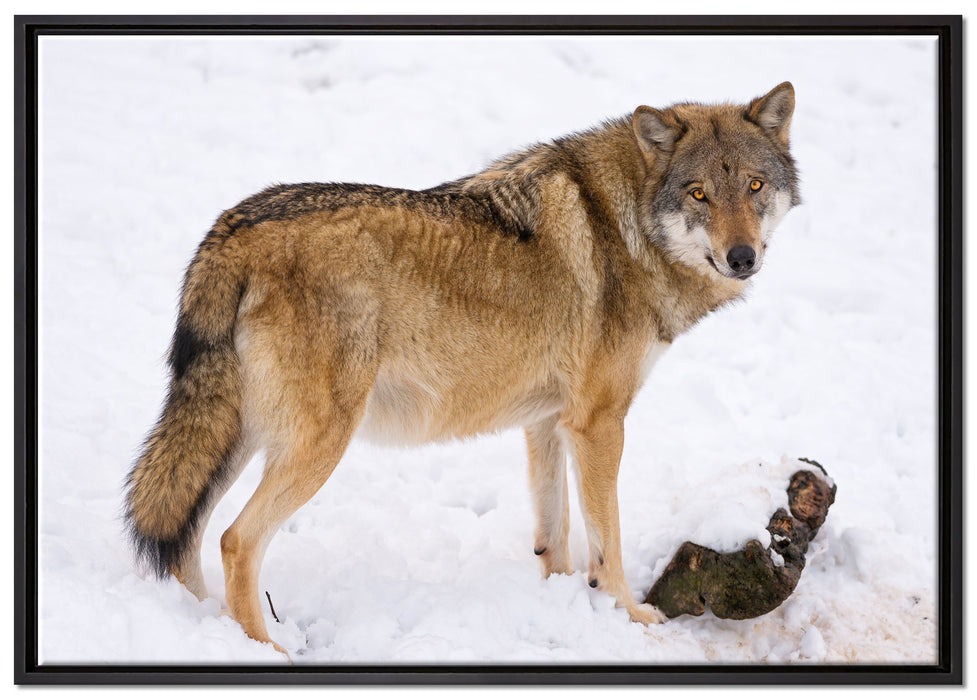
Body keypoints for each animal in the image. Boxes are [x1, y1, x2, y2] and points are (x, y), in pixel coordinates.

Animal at [125, 83, 799, 655]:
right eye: (699, 194)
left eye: (755, 186)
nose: (742, 257)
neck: (627, 224)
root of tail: (230, 229)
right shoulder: (598, 424)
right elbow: (607, 543)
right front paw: (630, 619)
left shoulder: (549, 422)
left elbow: (555, 535)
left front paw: (561, 608)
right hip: (315, 442)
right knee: (235, 540)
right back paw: (268, 652)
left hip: (241, 437)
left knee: (187, 538)